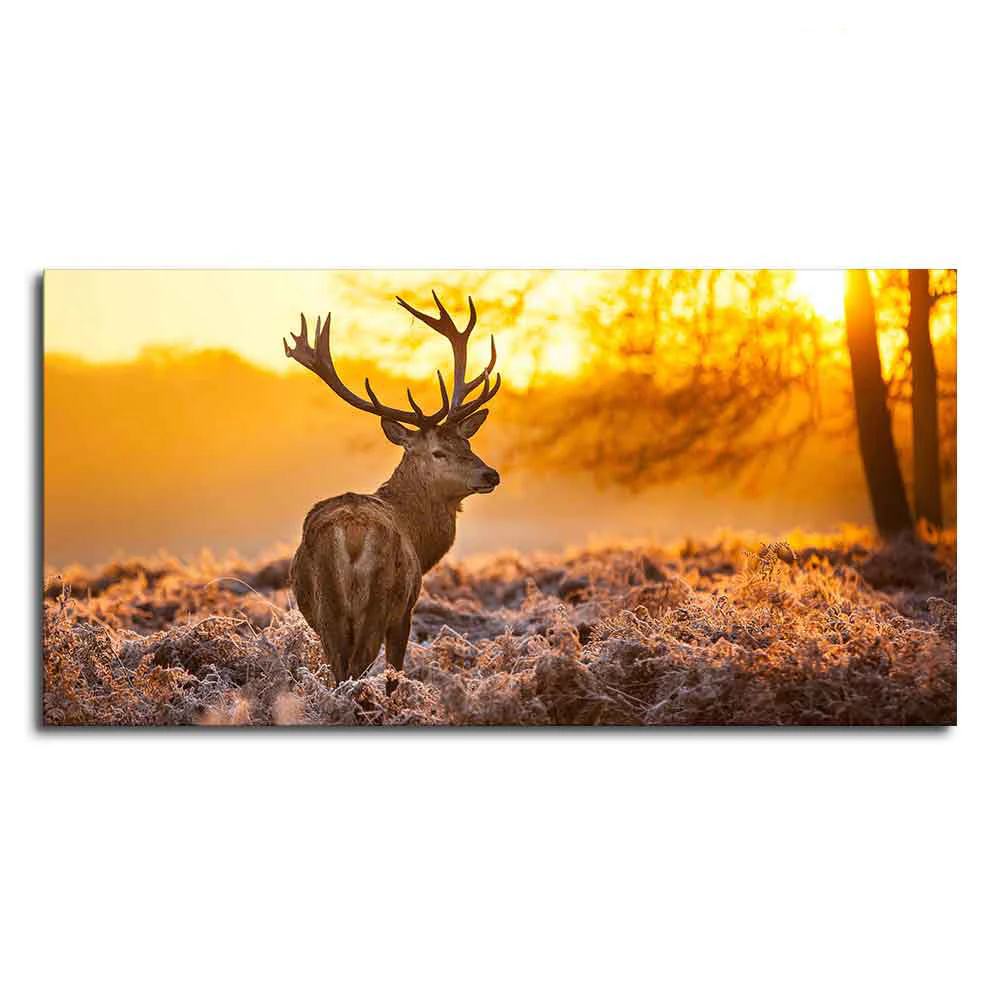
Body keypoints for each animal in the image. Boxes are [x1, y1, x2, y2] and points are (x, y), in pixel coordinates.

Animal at [283, 292, 501, 692]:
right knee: (357, 668)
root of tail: (351, 534)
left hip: (327, 610)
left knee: (339, 670)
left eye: (467, 442)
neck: (420, 537)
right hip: (379, 601)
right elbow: (395, 673)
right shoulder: (406, 610)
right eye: (438, 452)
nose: (491, 474)